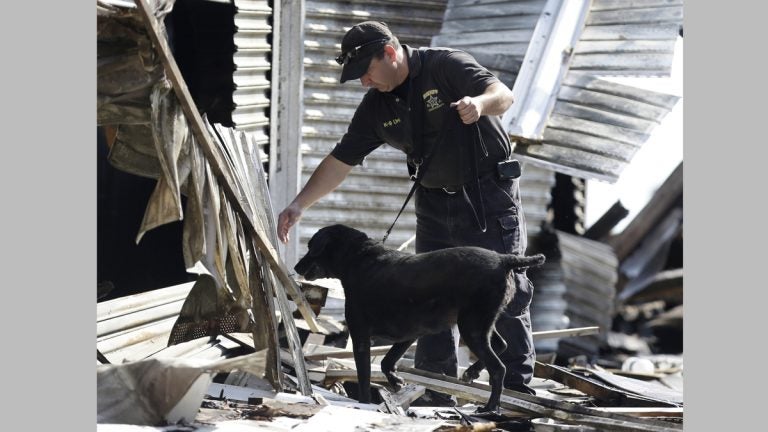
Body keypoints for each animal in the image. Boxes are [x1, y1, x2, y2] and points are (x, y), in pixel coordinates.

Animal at [292, 224, 544, 410]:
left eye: (311, 246)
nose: (296, 266)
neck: (359, 260)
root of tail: (504, 259)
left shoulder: (361, 336)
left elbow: (364, 376)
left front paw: (365, 403)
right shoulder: (410, 333)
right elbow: (386, 361)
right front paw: (396, 382)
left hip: (471, 326)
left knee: (499, 368)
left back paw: (491, 407)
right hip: (480, 323)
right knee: (501, 345)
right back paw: (472, 372)